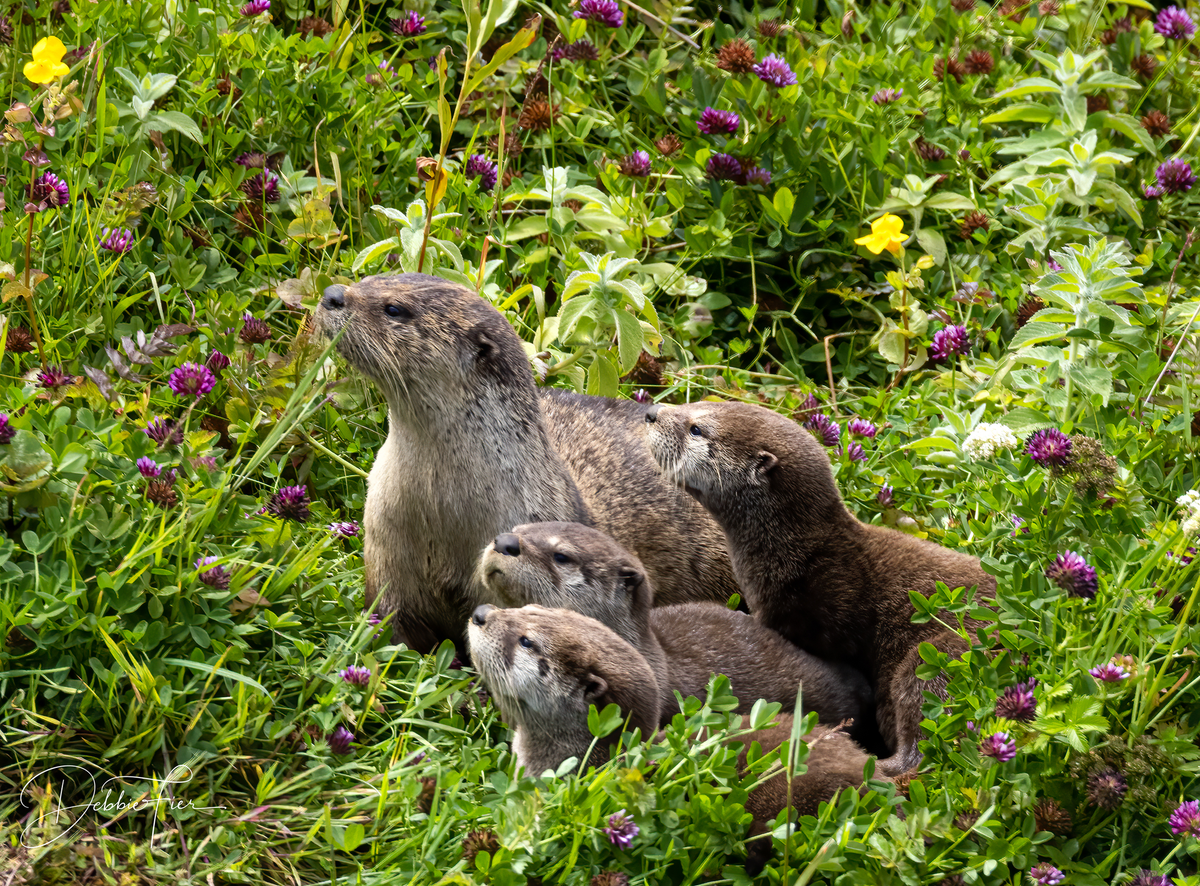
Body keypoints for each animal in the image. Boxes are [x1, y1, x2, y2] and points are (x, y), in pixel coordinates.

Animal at [645, 401, 996, 775]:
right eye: (693, 403)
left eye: (697, 428)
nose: (651, 412)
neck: (801, 554)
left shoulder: (822, 610)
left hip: (938, 658)